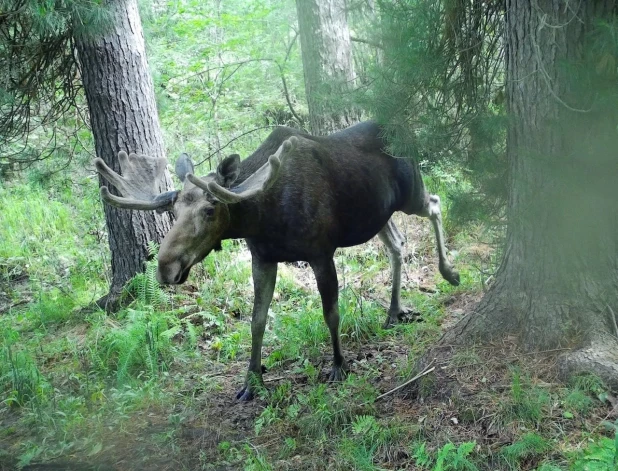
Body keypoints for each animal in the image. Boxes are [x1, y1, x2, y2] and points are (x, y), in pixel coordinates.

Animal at [92, 121, 458, 398]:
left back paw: (449, 272)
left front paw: (339, 365)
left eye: (210, 209)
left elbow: (331, 313)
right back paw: (394, 311)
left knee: (436, 204)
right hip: (377, 214)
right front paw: (251, 381)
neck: (262, 216)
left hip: (412, 192)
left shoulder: (320, 252)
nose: (166, 268)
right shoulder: (263, 259)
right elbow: (257, 321)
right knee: (397, 244)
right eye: (173, 209)